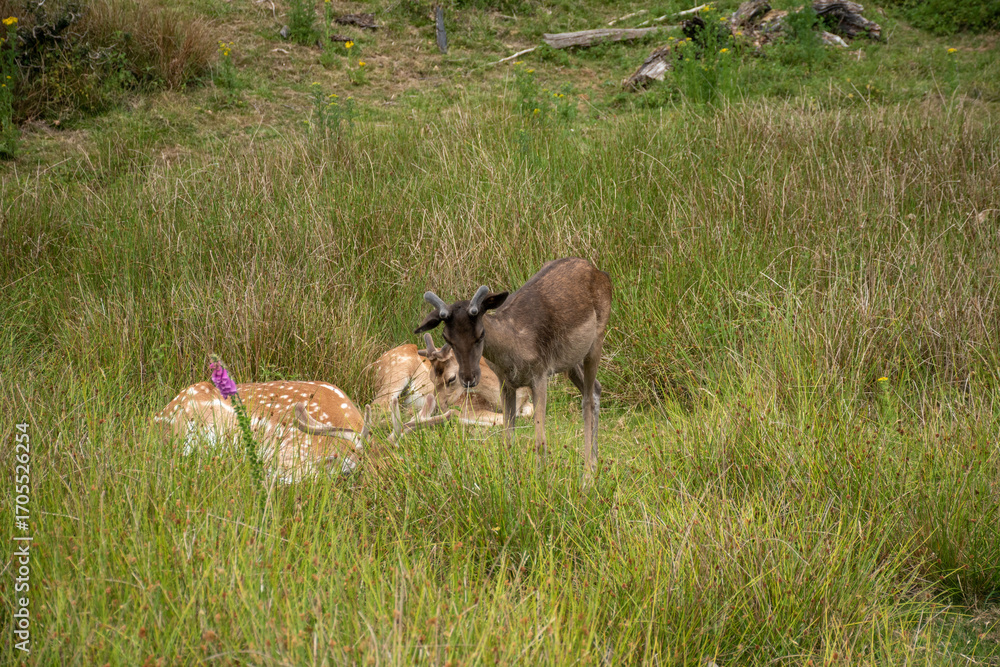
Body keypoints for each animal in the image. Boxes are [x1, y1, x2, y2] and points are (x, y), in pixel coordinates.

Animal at [415, 257, 612, 487]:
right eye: (447, 338)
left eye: (481, 334)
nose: (469, 378)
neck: (513, 352)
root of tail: (602, 273)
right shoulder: (506, 383)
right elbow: (507, 437)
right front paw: (509, 481)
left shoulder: (540, 374)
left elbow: (540, 439)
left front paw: (541, 482)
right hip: (570, 360)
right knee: (596, 388)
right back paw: (595, 464)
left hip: (596, 340)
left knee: (588, 399)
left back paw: (588, 477)